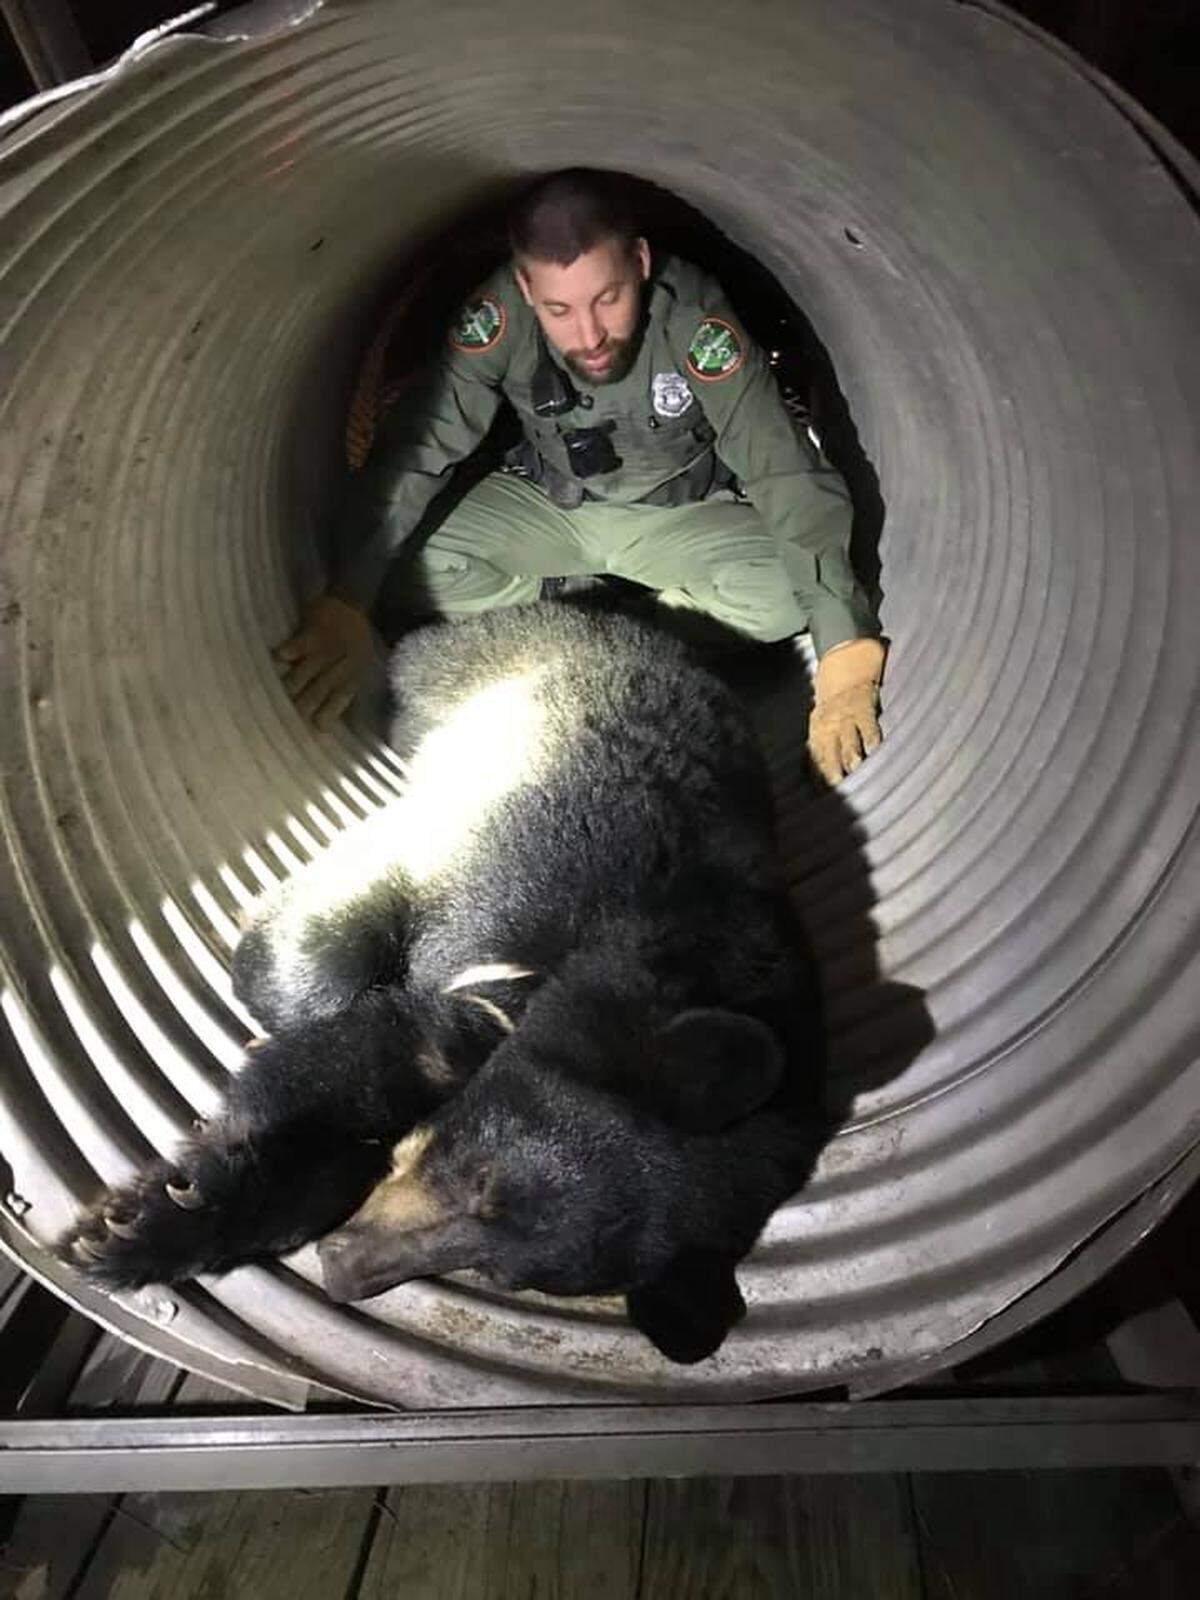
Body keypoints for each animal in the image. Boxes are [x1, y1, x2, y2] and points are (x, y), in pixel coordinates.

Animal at [60, 601, 828, 1364]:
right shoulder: (523, 891)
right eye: (477, 1177)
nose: (340, 1274)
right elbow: (339, 1030)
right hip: (470, 671)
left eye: (505, 1275)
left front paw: (150, 1219)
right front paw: (142, 1230)